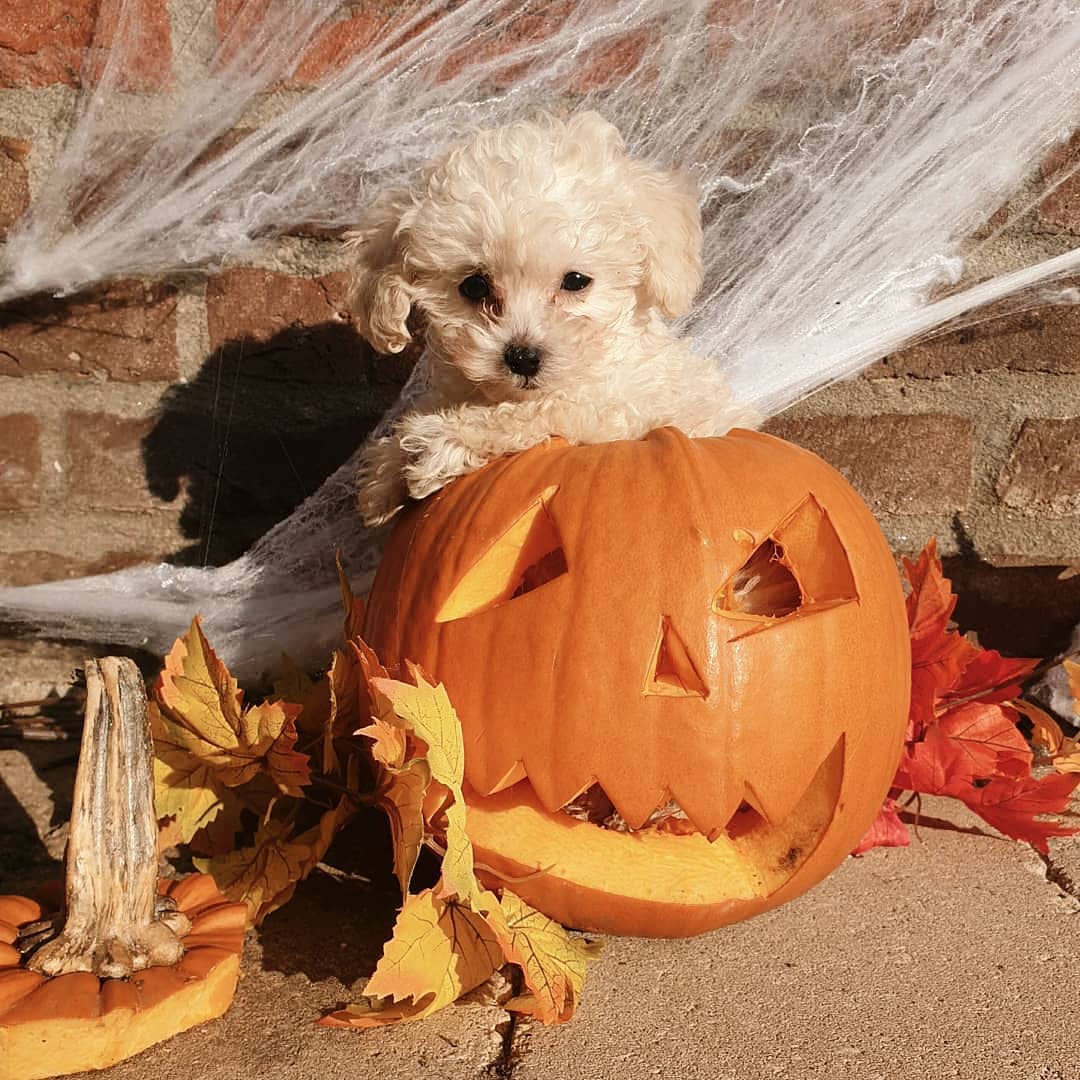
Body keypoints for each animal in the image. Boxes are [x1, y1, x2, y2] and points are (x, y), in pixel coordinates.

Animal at [349, 110, 756, 527]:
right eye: (475, 286)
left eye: (575, 281)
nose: (523, 358)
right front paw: (385, 474)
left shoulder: (618, 411)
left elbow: (548, 411)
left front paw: (440, 440)